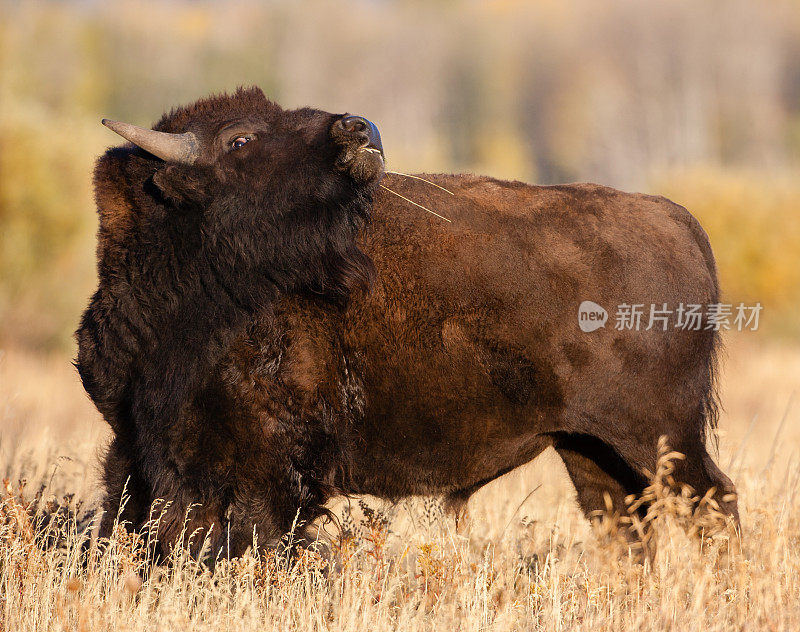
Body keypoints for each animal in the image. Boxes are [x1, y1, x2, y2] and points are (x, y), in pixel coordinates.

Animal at [75, 86, 736, 560]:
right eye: (239, 139)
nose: (358, 130)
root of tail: (676, 219)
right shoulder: (138, 444)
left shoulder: (267, 467)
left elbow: (255, 539)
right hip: (588, 444)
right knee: (624, 521)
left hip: (659, 435)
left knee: (714, 504)